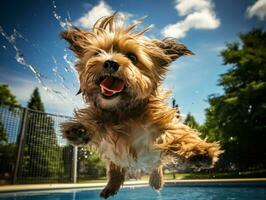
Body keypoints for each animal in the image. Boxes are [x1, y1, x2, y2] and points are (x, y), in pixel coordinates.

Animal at [60, 13, 222, 198]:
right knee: (115, 168)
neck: (125, 111)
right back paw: (111, 186)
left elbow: (177, 134)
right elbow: (94, 120)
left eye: (132, 57)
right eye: (97, 52)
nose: (110, 63)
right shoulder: (106, 128)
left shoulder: (159, 124)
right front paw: (80, 129)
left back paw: (157, 181)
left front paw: (198, 151)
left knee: (155, 167)